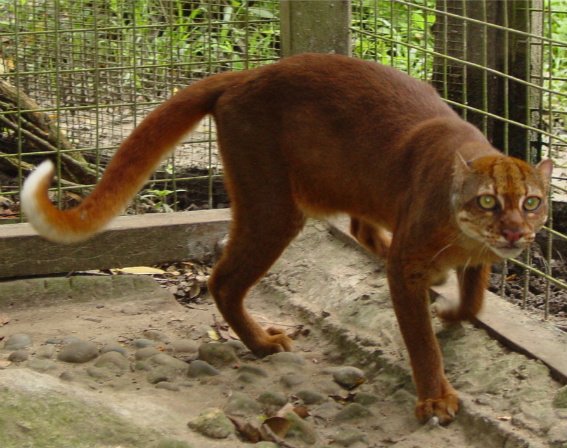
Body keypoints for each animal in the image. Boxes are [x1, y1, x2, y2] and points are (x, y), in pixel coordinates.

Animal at [23, 52, 556, 424]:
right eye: (487, 202)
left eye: (532, 202)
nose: (515, 230)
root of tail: (247, 74)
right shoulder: (408, 263)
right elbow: (421, 339)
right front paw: (436, 398)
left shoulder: (475, 254)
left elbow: (476, 294)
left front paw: (454, 309)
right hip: (274, 205)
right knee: (223, 279)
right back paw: (262, 343)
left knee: (357, 227)